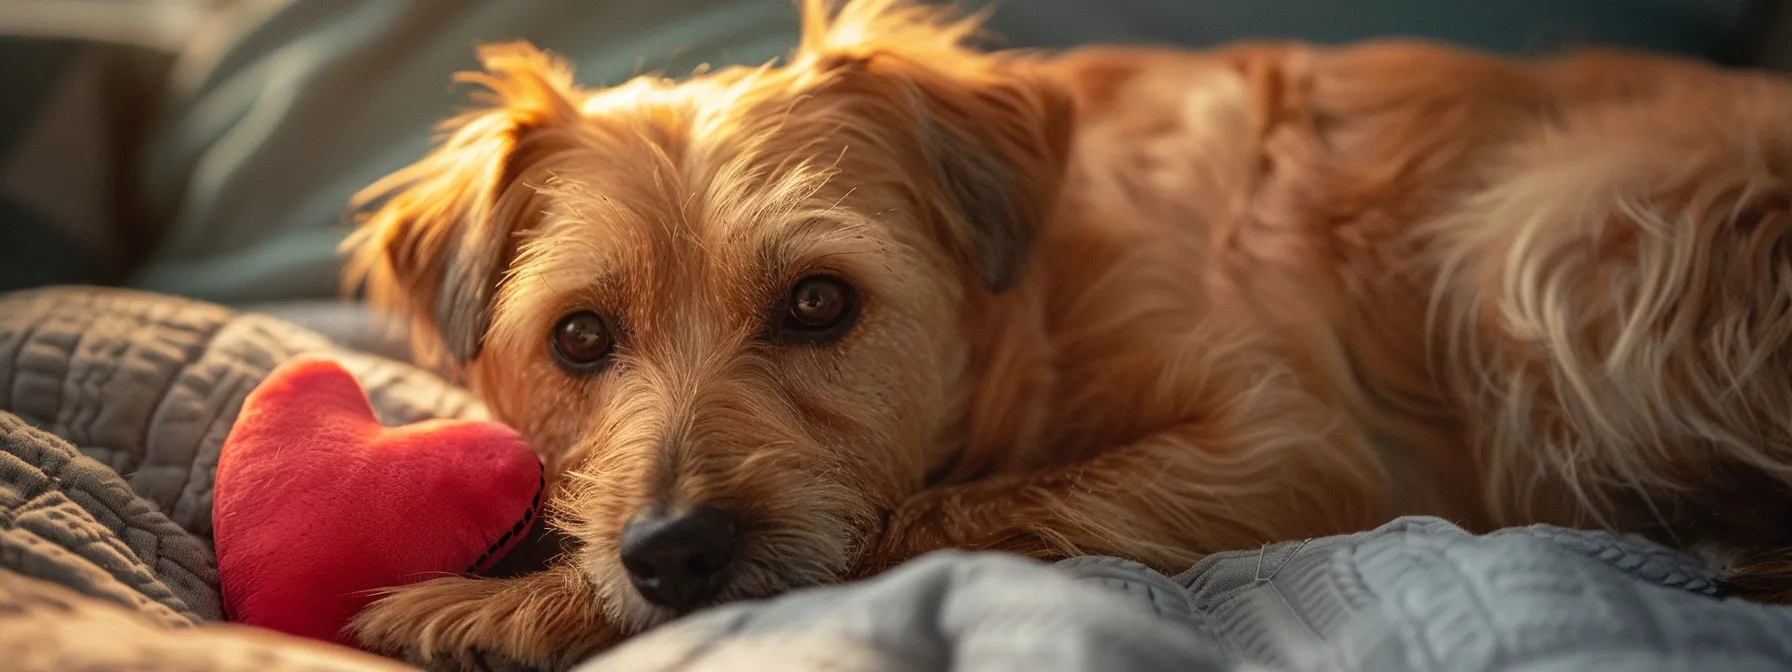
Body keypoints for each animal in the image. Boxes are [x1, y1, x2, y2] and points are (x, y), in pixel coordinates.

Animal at [336, 0, 1792, 670]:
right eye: (580, 338)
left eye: (819, 302)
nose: (675, 549)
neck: (1029, 295)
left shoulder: (1286, 447)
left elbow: (947, 513)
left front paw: (509, 601)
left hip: (1546, 242)